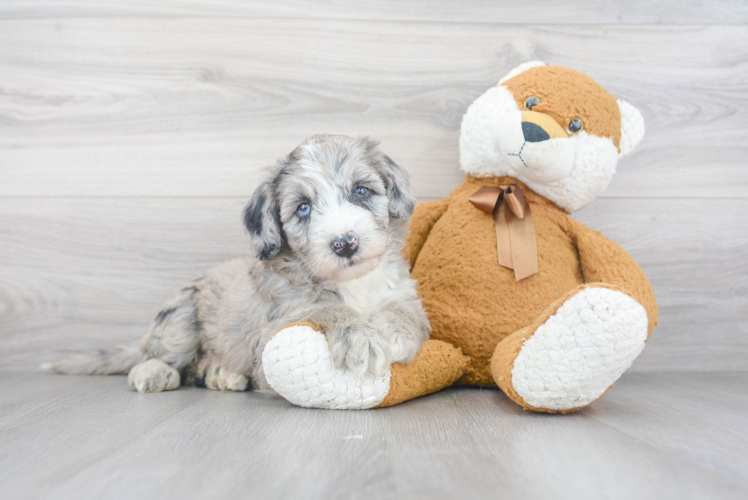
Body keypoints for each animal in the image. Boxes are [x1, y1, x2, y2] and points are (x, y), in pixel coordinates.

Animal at [46, 135, 430, 392]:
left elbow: (405, 311)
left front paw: (395, 332)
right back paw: (155, 373)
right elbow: (324, 309)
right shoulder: (272, 330)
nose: (345, 243)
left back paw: (220, 373)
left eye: (361, 191)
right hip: (180, 317)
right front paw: (360, 339)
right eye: (303, 208)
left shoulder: (405, 293)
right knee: (157, 357)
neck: (353, 281)